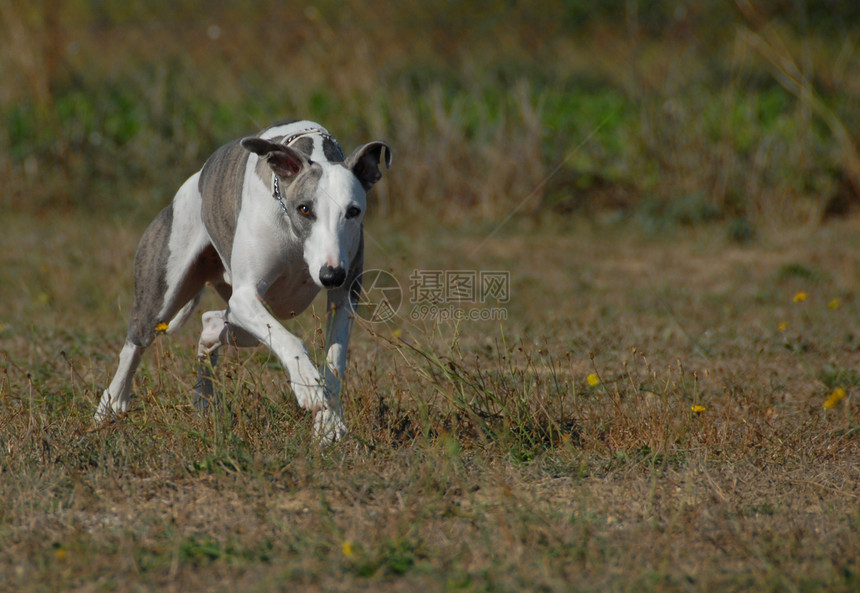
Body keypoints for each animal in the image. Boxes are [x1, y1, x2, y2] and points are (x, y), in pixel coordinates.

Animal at [95, 120, 392, 442]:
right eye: (304, 208)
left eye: (353, 211)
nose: (331, 275)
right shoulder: (246, 295)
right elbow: (292, 339)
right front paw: (308, 385)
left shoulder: (345, 297)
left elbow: (335, 361)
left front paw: (330, 423)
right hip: (162, 295)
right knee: (136, 343)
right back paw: (111, 404)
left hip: (243, 319)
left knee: (211, 323)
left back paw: (204, 396)